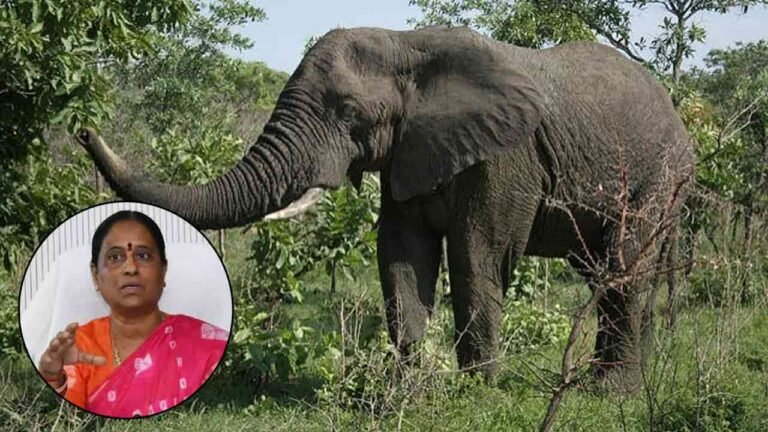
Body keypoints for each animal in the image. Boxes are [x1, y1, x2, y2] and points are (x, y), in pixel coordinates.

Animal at [77, 26, 693, 386]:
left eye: (350, 113)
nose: (83, 129)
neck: (409, 43)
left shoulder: (505, 155)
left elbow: (478, 255)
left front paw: (478, 391)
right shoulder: (411, 149)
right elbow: (401, 254)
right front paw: (409, 386)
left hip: (659, 176)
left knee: (623, 266)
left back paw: (610, 391)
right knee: (603, 270)